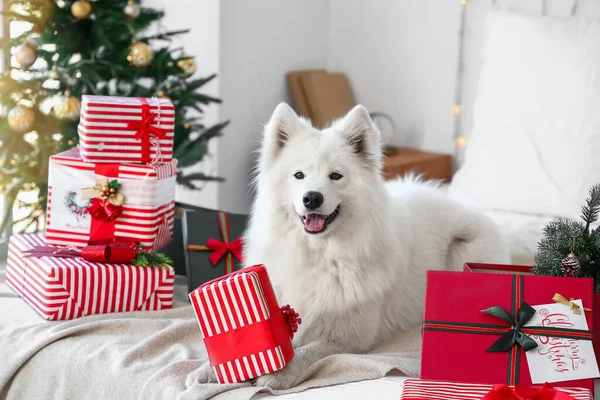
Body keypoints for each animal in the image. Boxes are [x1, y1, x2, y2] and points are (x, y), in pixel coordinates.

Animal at [196, 102, 506, 388]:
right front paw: (212, 369)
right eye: (299, 175)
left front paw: (280, 372)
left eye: (335, 175)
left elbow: (307, 351)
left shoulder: (347, 338)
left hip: (462, 249)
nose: (312, 198)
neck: (320, 254)